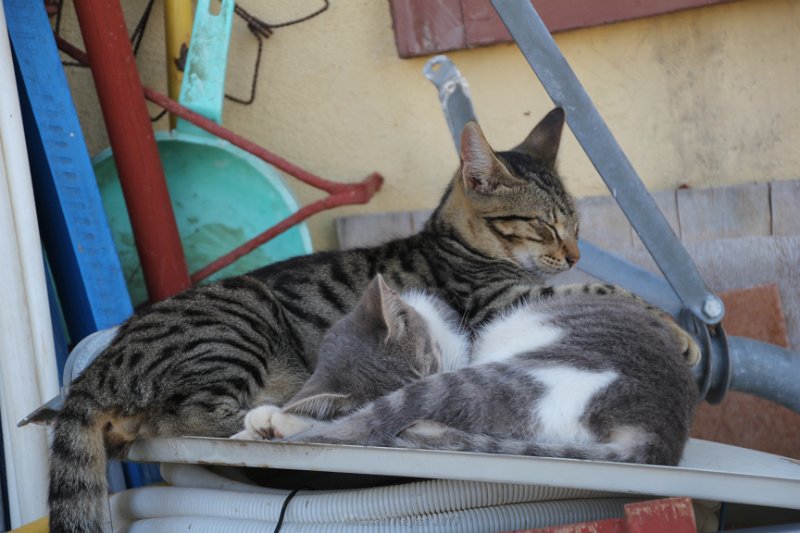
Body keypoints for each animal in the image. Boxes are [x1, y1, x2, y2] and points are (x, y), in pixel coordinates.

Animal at [234, 276, 696, 464]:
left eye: (426, 361)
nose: (426, 375)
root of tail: (660, 432)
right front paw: (259, 423)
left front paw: (272, 419)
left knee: (369, 428)